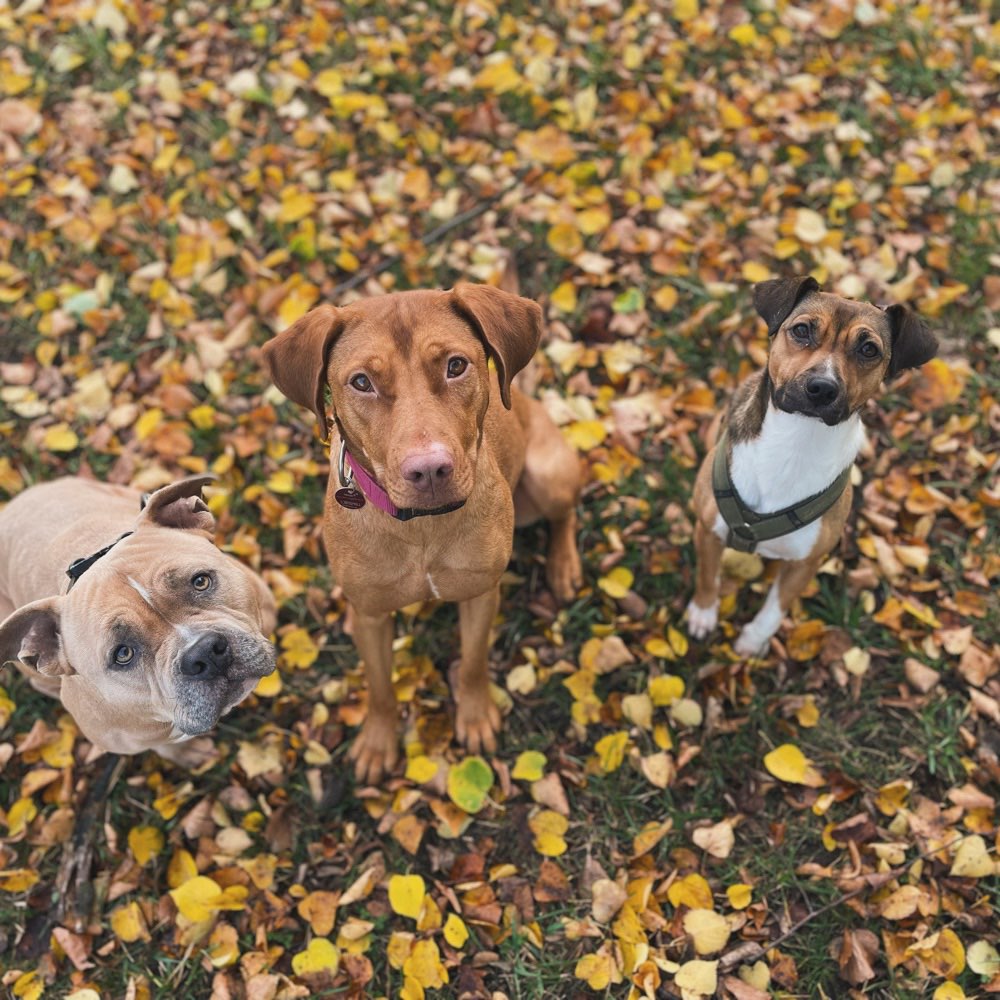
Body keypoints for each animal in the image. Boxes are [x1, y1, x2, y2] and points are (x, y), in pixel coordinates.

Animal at [262, 282, 584, 780]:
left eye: (455, 366)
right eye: (361, 382)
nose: (430, 470)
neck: (421, 529)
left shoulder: (480, 594)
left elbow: (473, 663)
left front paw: (476, 716)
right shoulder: (370, 614)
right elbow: (379, 687)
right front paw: (378, 742)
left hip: (548, 475)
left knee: (564, 512)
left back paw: (563, 565)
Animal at [688, 278, 936, 660]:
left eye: (869, 349)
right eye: (802, 330)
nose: (822, 387)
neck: (796, 440)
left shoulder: (806, 562)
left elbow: (775, 608)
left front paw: (752, 642)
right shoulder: (708, 530)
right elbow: (706, 575)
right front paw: (703, 613)